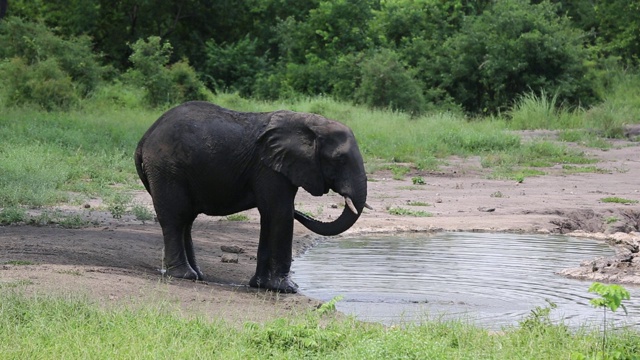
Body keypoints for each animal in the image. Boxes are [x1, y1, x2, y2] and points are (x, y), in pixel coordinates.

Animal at [134, 100, 370, 292]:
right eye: (339, 159)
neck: (309, 124)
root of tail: (145, 137)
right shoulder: (269, 168)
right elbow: (280, 213)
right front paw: (288, 289)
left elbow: (269, 215)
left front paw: (261, 285)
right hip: (167, 169)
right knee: (177, 217)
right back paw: (185, 276)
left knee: (187, 221)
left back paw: (198, 275)